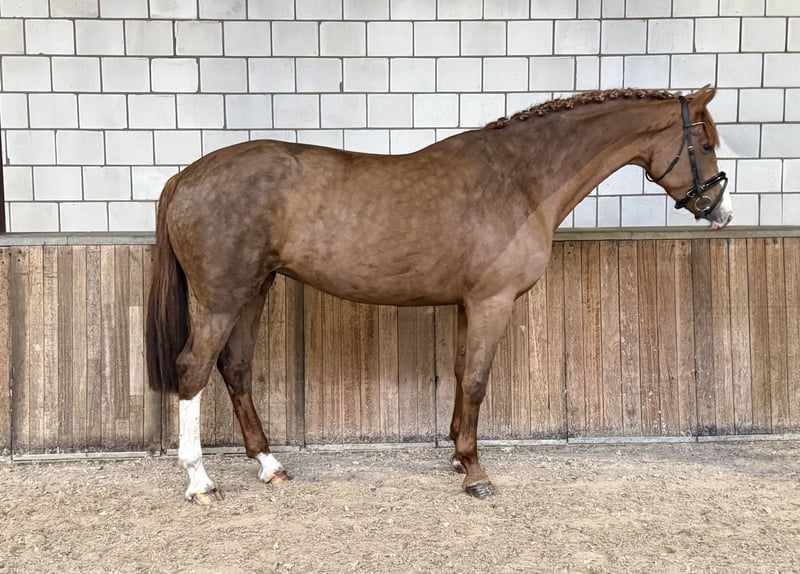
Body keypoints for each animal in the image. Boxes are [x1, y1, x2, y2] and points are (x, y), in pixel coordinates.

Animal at [146, 86, 732, 504]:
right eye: (703, 143)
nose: (720, 212)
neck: (520, 180)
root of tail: (185, 176)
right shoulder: (493, 302)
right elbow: (475, 381)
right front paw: (475, 473)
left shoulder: (468, 305)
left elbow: (458, 372)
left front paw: (455, 454)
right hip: (222, 298)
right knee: (194, 368)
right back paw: (200, 481)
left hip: (254, 290)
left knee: (235, 367)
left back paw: (270, 466)